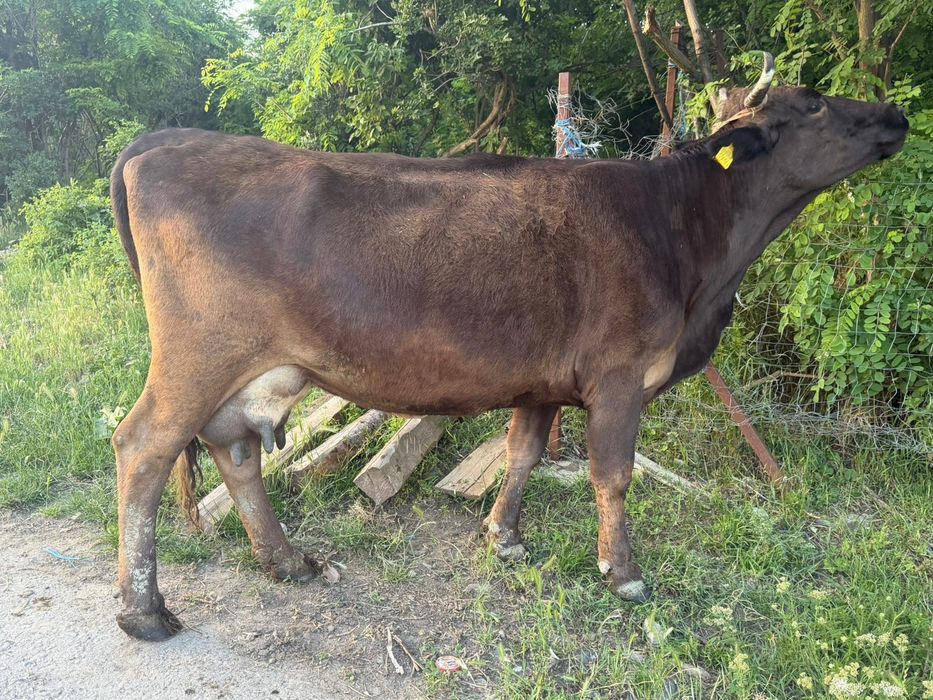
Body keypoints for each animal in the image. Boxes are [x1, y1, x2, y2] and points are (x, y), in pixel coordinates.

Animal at [109, 53, 908, 640]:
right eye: (812, 103)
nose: (897, 114)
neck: (685, 236)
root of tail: (166, 140)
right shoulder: (619, 376)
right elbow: (612, 476)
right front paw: (622, 573)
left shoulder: (542, 381)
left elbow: (523, 453)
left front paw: (503, 537)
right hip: (198, 355)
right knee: (144, 447)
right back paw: (144, 610)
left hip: (257, 368)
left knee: (235, 448)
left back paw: (287, 562)